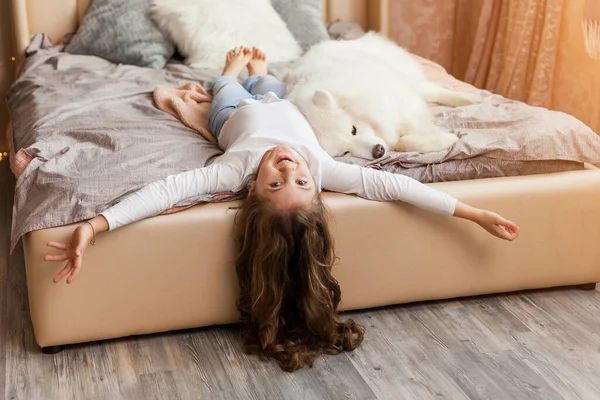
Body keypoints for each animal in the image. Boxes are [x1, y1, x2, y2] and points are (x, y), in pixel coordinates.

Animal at [284, 32, 480, 160]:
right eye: (345, 152)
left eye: (353, 130)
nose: (377, 151)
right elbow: (402, 143)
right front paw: (447, 138)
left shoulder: (401, 107)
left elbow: (410, 133)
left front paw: (447, 137)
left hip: (406, 78)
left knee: (433, 90)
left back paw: (470, 98)